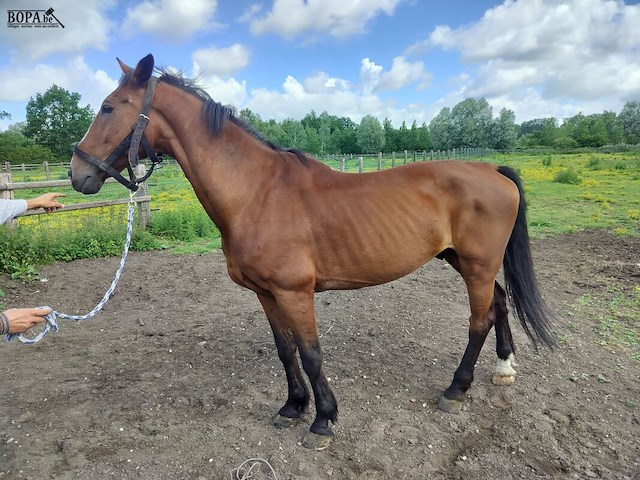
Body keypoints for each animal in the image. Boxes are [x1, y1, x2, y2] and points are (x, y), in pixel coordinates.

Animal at [69, 54, 555, 450]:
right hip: (463, 261)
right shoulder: (266, 293)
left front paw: (323, 420)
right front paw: (292, 407)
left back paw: (456, 389)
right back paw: (504, 368)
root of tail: (493, 170)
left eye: (109, 107)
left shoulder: (295, 292)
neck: (256, 193)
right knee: (500, 302)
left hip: (475, 265)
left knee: (480, 320)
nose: (77, 174)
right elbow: (285, 350)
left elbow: (311, 352)